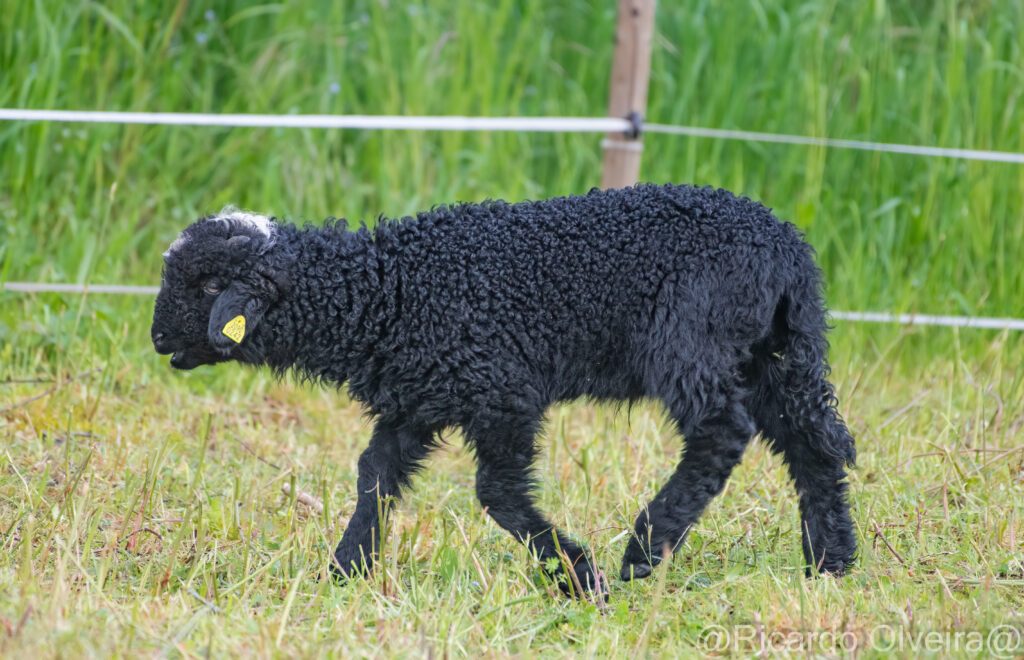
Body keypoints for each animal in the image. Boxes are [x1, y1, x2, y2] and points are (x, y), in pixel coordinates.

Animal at [149, 183, 856, 593]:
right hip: (771, 355)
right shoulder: (417, 402)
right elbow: (374, 477)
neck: (387, 291)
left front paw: (576, 575)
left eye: (210, 285)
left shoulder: (503, 393)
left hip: (693, 342)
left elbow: (498, 495)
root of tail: (786, 248)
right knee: (814, 443)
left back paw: (642, 552)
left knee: (722, 434)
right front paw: (344, 573)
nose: (156, 340)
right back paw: (832, 564)